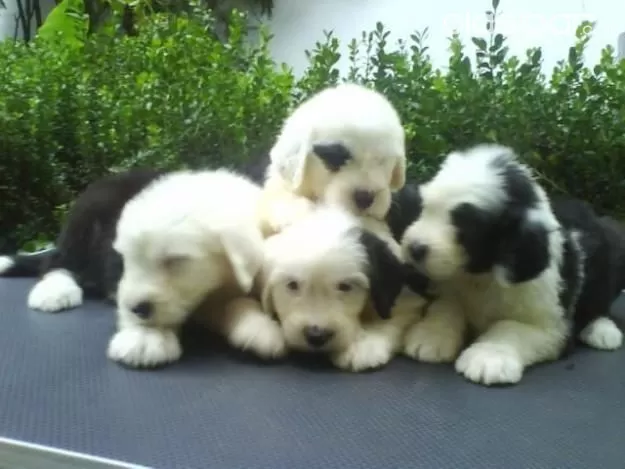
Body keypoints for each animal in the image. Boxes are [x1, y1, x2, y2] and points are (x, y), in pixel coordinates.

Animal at [254, 205, 424, 370]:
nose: (317, 336)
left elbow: (394, 317)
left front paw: (363, 344)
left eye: (345, 286)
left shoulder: (408, 299)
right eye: (292, 284)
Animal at [394, 144, 624, 386]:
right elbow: (446, 307)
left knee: (600, 304)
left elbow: (511, 327)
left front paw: (488, 357)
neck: (481, 275)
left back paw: (602, 330)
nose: (414, 248)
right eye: (425, 207)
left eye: (467, 224)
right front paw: (430, 335)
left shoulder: (551, 325)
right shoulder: (450, 289)